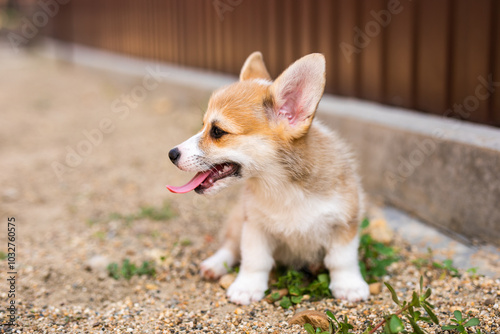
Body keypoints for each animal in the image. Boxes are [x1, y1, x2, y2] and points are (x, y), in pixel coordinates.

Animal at [166, 51, 370, 306]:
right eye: (203, 126)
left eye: (217, 132)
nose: (171, 154)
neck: (281, 186)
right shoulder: (254, 226)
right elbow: (255, 260)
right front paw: (246, 287)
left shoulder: (345, 223)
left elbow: (342, 260)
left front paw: (349, 285)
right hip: (238, 219)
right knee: (231, 246)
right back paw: (215, 265)